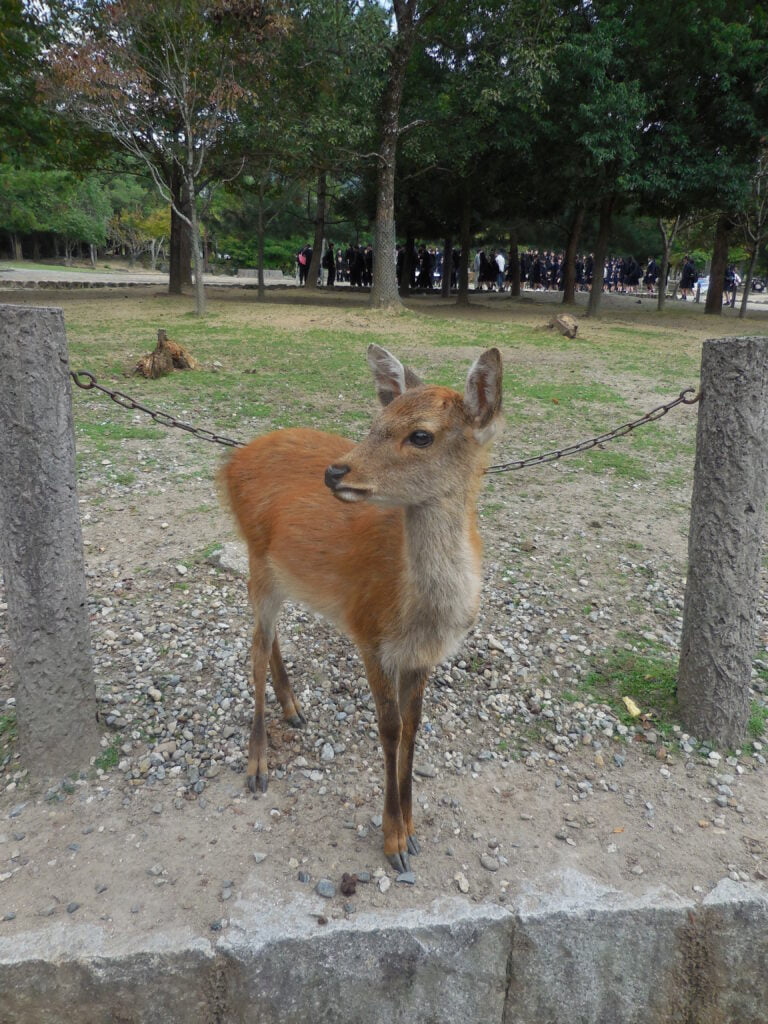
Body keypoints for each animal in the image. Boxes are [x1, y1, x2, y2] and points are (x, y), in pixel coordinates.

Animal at [219, 344, 505, 872]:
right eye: (376, 421)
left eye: (420, 435)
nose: (335, 471)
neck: (418, 615)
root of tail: (231, 460)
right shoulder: (368, 632)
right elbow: (389, 729)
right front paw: (394, 842)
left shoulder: (422, 655)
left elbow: (414, 728)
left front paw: (412, 828)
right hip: (255, 561)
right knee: (255, 646)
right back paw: (258, 764)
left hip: (279, 574)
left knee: (269, 638)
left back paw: (294, 708)